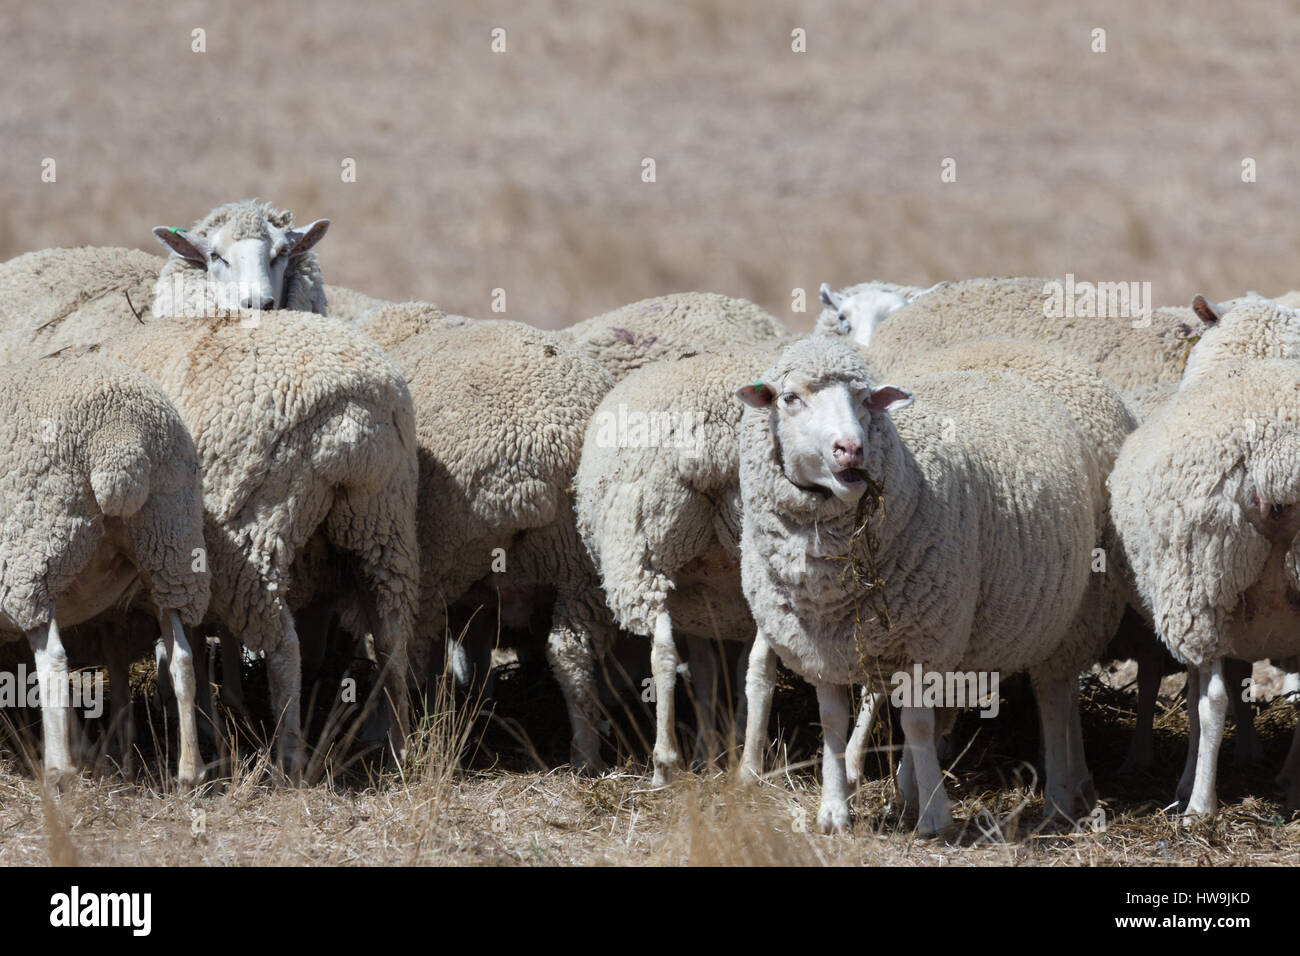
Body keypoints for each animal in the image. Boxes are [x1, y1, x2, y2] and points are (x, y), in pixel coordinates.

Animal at [0, 356, 208, 790]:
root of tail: (122, 437)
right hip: (169, 544)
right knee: (181, 656)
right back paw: (189, 771)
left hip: (36, 556)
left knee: (53, 661)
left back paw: (59, 769)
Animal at [738, 340, 1133, 832]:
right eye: (790, 398)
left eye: (865, 399)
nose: (851, 449)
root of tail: (1008, 360)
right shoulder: (819, 648)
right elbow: (831, 722)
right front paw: (834, 810)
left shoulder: (924, 639)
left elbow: (918, 725)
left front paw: (933, 816)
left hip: (1072, 612)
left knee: (1055, 693)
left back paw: (1061, 795)